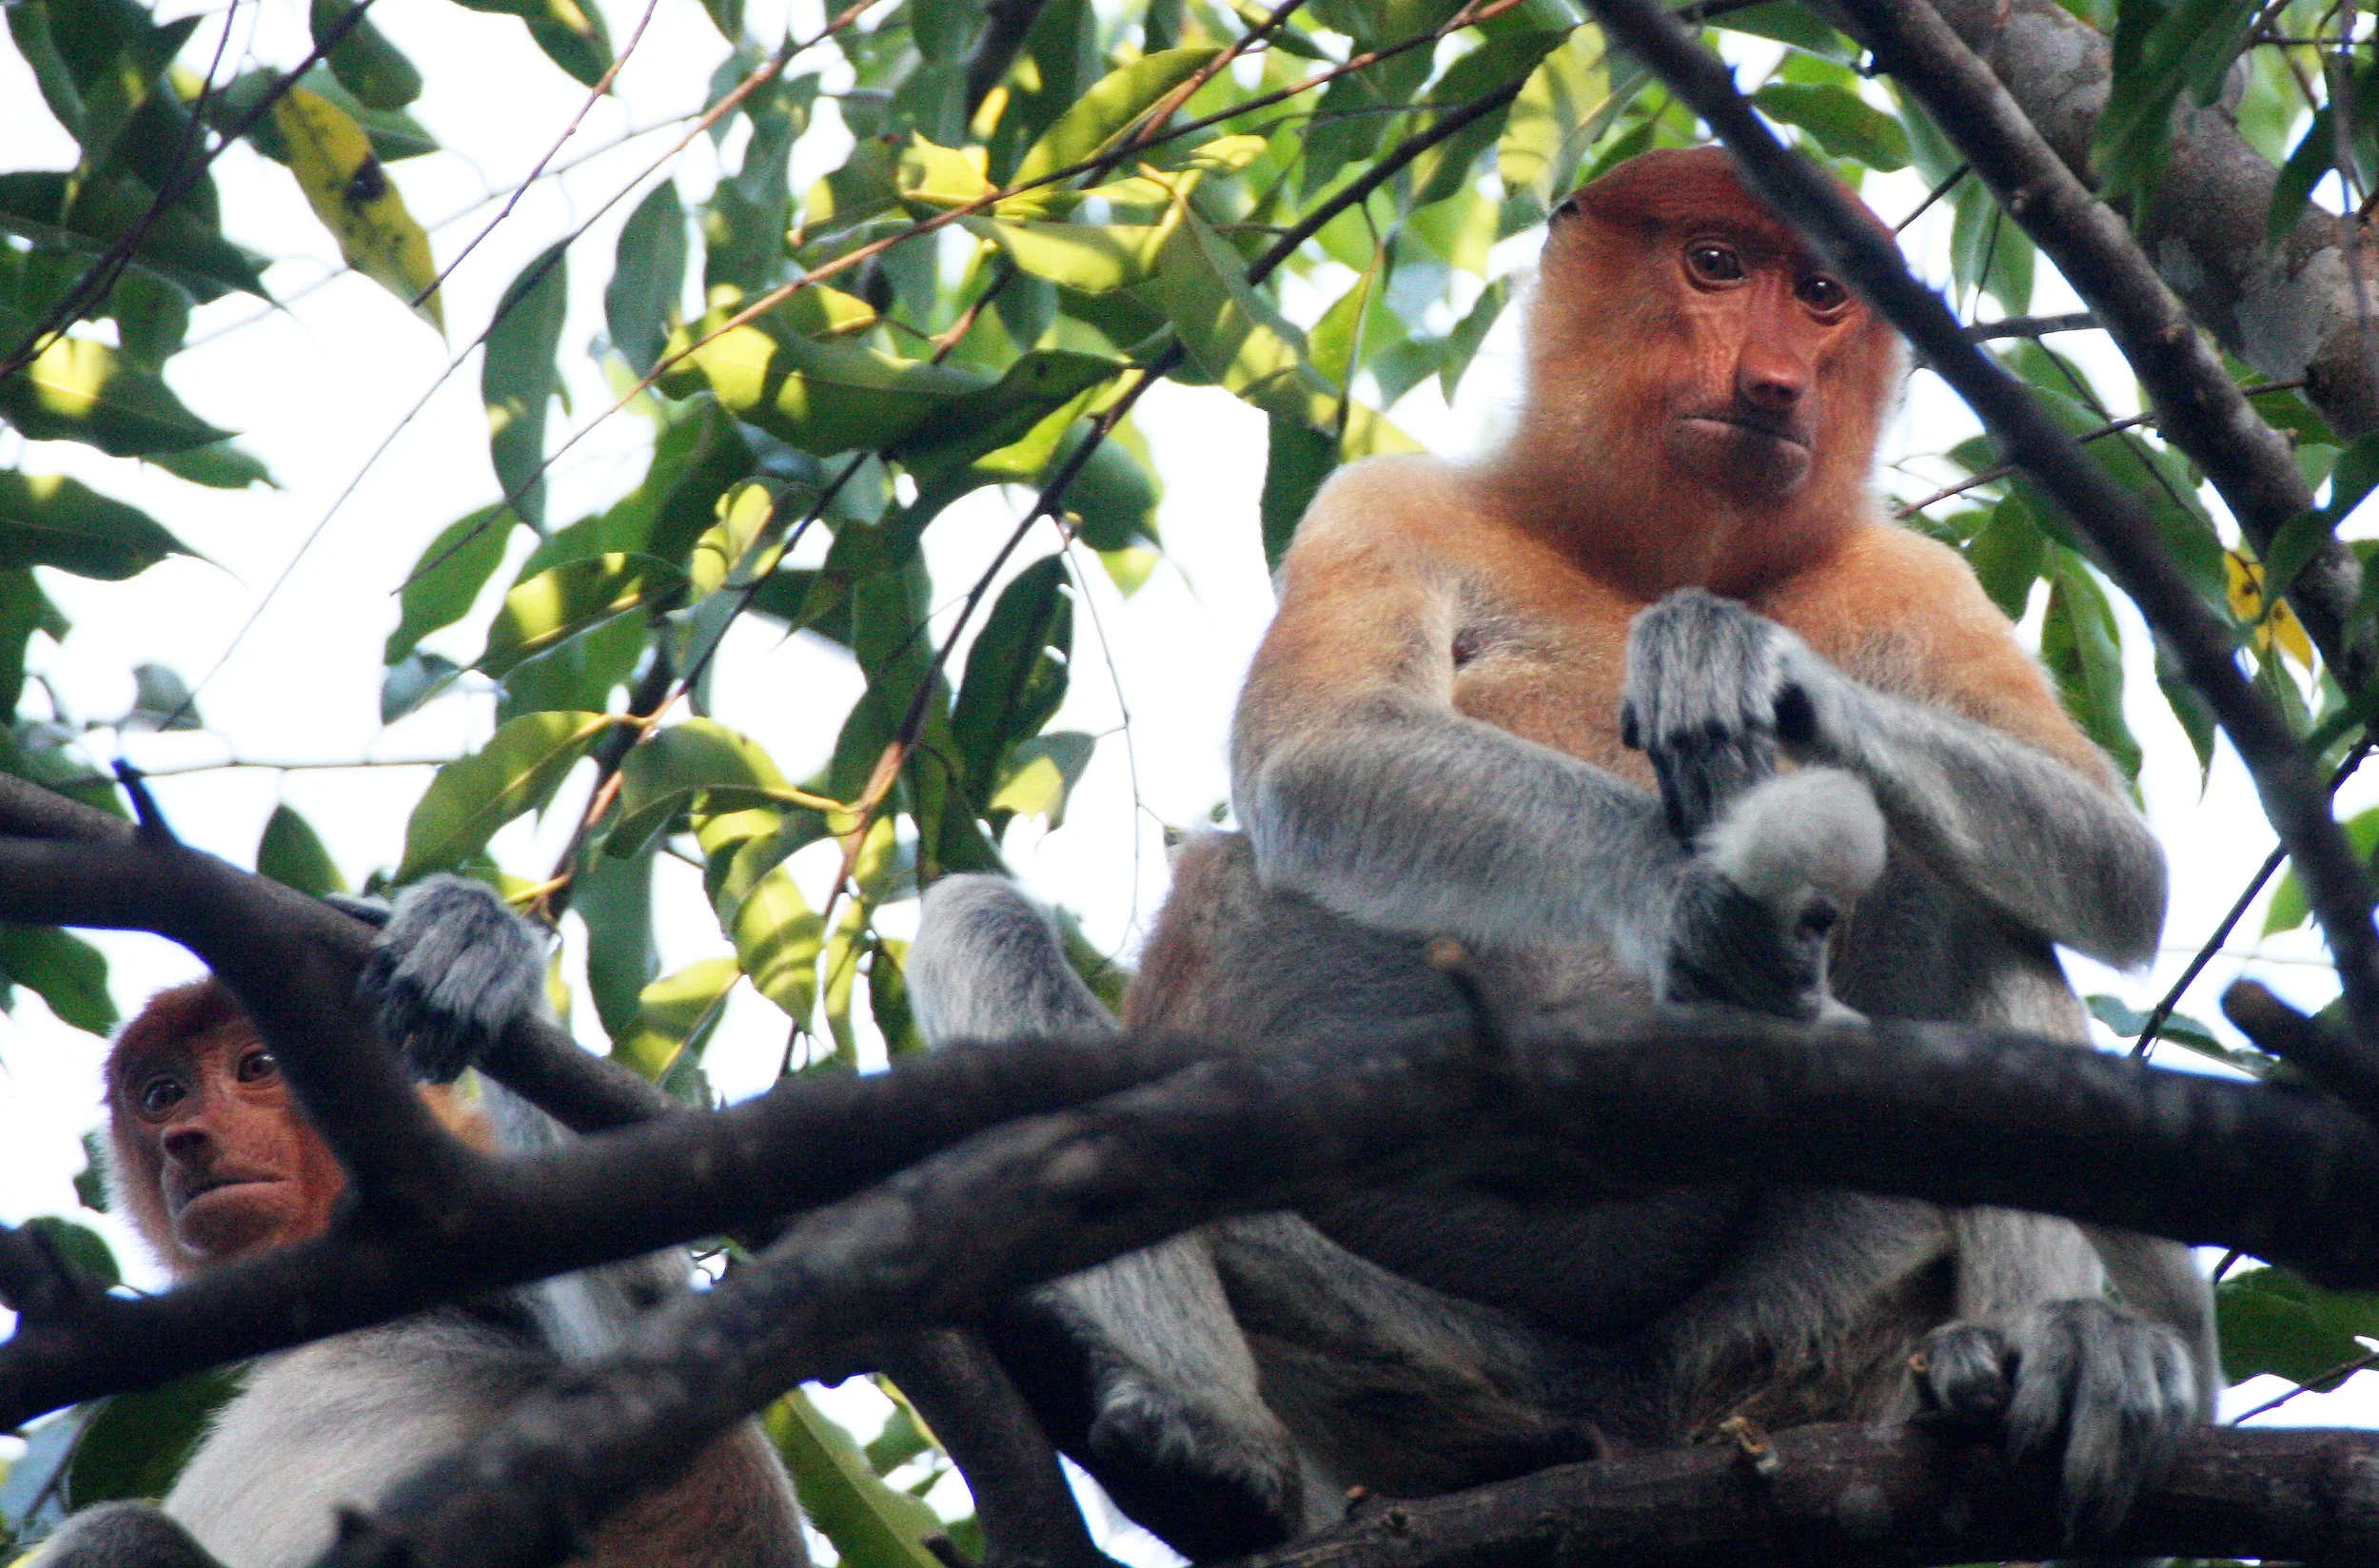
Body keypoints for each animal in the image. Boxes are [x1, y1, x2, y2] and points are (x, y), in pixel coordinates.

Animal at [907, 144, 2216, 1559]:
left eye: (1821, 293)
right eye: (1715, 264)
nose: (1776, 383)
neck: (1632, 548)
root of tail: (1638, 1409)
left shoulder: (1911, 575)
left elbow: (2115, 862)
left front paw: (1747, 664)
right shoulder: (1383, 501)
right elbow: (1321, 750)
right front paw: (1697, 907)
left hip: (1808, 1315)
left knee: (1982, 907)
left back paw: (2043, 1356)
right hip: (1400, 1338)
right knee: (985, 926)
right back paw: (1213, 1447)